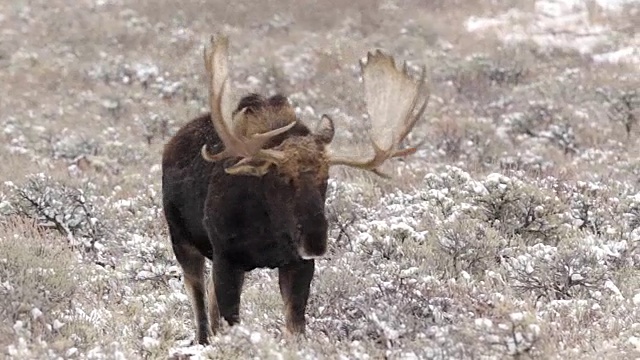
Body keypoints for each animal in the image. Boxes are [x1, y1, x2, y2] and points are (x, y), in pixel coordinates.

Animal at [160, 33, 430, 346]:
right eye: (281, 178)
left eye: (326, 178)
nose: (315, 240)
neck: (267, 232)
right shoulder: (227, 258)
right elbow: (231, 322)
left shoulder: (298, 264)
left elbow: (295, 326)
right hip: (183, 241)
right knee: (201, 309)